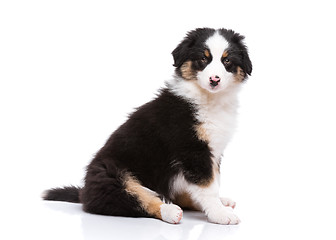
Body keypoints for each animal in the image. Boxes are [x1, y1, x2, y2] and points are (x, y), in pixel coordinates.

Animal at [42, 27, 252, 225]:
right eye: (203, 58)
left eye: (227, 61)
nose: (214, 80)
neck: (209, 99)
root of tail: (84, 192)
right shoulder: (192, 150)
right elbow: (207, 186)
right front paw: (220, 215)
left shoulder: (214, 152)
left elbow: (213, 181)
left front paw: (218, 206)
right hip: (113, 175)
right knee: (136, 199)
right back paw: (170, 211)